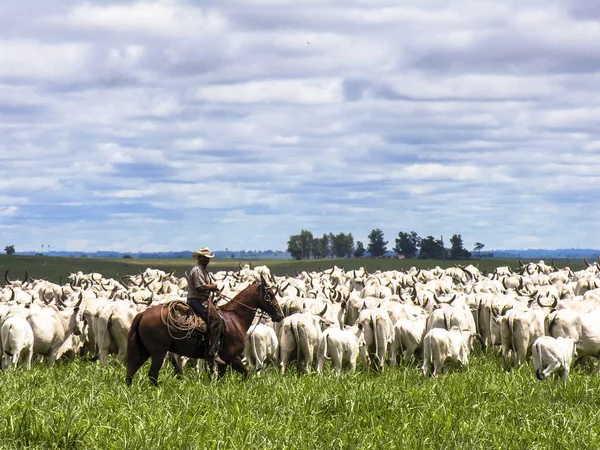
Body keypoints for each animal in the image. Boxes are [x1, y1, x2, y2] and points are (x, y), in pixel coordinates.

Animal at [126, 278, 284, 386]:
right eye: (270, 294)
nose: (280, 315)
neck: (235, 318)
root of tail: (143, 314)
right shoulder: (231, 357)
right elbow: (246, 374)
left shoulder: (224, 362)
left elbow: (222, 379)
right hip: (158, 353)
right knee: (152, 374)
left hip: (144, 351)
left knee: (131, 371)